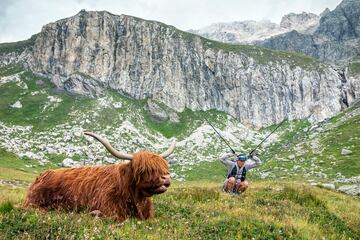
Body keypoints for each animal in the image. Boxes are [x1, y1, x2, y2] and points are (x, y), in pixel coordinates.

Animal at [23, 132, 176, 222]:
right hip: (34, 202)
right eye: (144, 170)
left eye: (164, 167)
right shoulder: (110, 209)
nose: (166, 178)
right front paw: (93, 213)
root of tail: (41, 176)